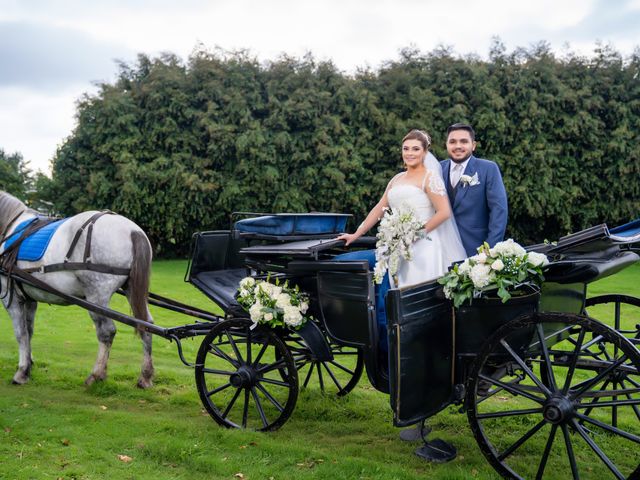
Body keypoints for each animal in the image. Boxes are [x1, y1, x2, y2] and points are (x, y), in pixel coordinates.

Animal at [0, 190, 154, 386]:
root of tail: (133, 230)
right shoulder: (30, 298)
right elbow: (29, 331)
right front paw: (29, 363)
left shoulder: (10, 298)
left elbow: (20, 333)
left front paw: (21, 372)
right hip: (132, 292)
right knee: (146, 325)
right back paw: (145, 376)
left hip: (97, 298)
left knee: (106, 332)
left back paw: (96, 374)